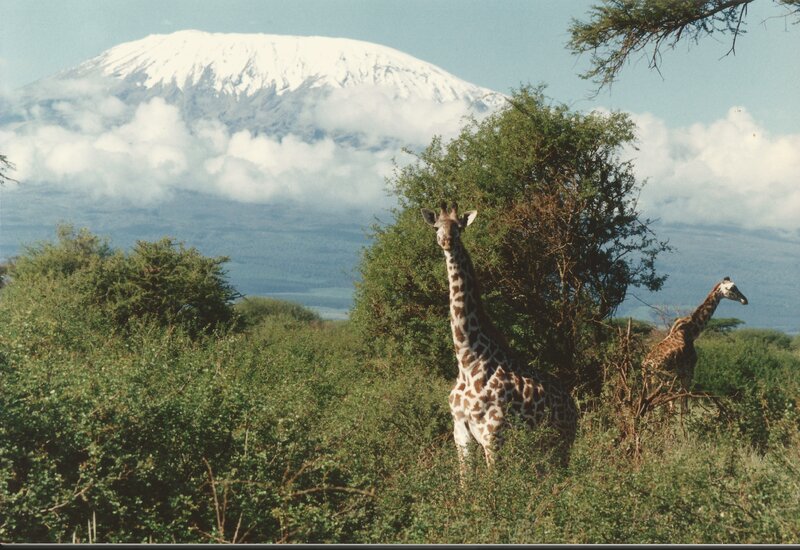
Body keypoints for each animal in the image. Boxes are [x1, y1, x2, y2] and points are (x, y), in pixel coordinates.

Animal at [422, 202, 577, 480]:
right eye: (436, 226)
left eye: (459, 227)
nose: (447, 241)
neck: (468, 359)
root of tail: (574, 407)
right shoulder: (460, 433)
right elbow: (466, 482)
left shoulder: (493, 434)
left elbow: (493, 483)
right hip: (542, 443)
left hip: (562, 441)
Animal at [642, 277, 748, 413]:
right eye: (731, 288)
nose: (744, 300)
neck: (692, 331)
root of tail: (647, 366)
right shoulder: (689, 370)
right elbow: (684, 407)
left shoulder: (679, 375)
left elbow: (677, 405)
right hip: (659, 380)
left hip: (648, 382)